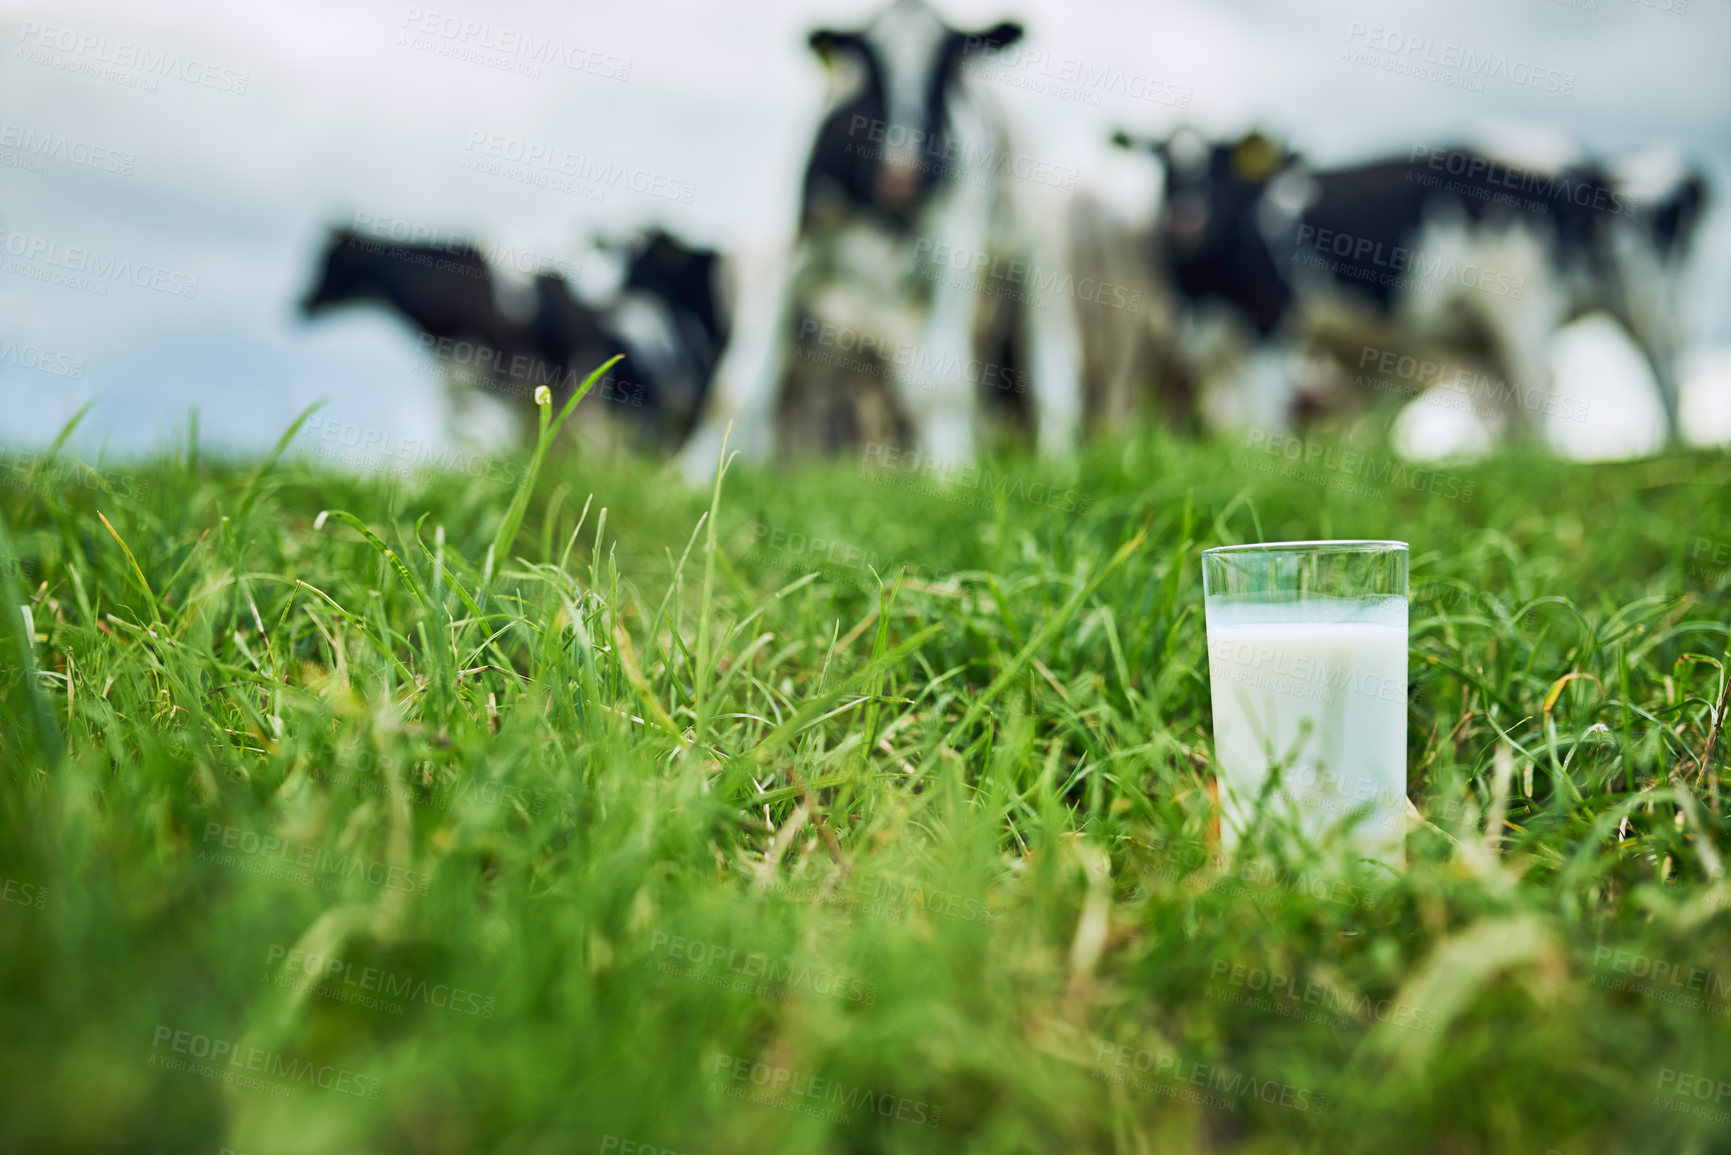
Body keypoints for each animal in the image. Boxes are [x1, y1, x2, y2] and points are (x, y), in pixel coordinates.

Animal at [678, 0, 1073, 481]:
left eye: (947, 65)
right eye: (870, 64)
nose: (901, 177)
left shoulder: (954, 258)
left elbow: (946, 387)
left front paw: (952, 477)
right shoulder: (788, 258)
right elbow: (733, 389)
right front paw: (688, 477)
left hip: (1038, 255)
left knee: (1052, 364)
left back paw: (1056, 461)